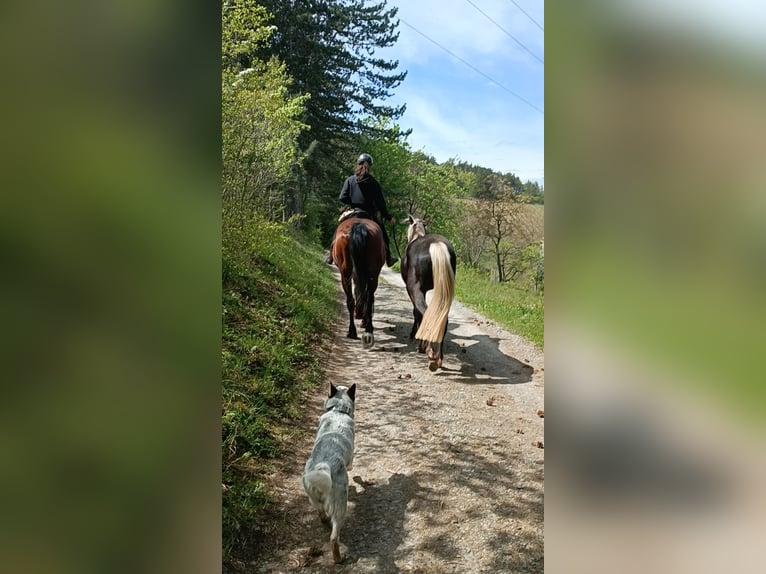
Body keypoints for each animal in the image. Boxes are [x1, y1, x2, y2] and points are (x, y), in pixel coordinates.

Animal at [304, 384, 356, 564]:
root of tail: (324, 465)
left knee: (321, 511)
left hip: (312, 496)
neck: (338, 411)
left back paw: (324, 519)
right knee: (334, 538)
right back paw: (338, 558)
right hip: (340, 507)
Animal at [332, 215, 388, 346]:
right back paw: (367, 328)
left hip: (346, 274)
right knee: (367, 298)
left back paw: (352, 331)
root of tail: (358, 226)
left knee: (352, 300)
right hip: (372, 275)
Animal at [402, 217, 456, 374]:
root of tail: (436, 245)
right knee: (442, 319)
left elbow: (416, 313)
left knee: (427, 314)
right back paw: (439, 359)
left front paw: (414, 336)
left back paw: (429, 354)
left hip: (415, 289)